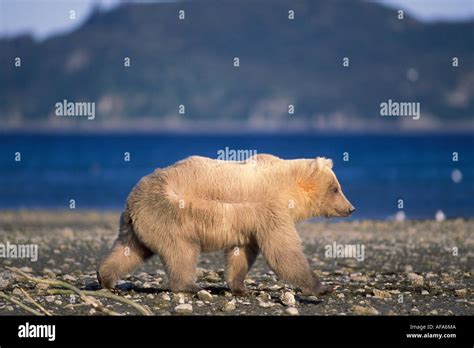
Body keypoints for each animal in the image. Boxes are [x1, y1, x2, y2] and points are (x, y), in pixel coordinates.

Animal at [98, 155, 354, 296]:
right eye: (336, 188)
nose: (351, 208)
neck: (290, 189)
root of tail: (133, 198)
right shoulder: (270, 208)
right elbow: (283, 251)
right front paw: (322, 286)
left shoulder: (249, 221)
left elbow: (241, 252)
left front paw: (241, 287)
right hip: (171, 212)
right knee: (181, 252)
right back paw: (190, 286)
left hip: (139, 223)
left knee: (129, 249)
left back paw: (106, 278)